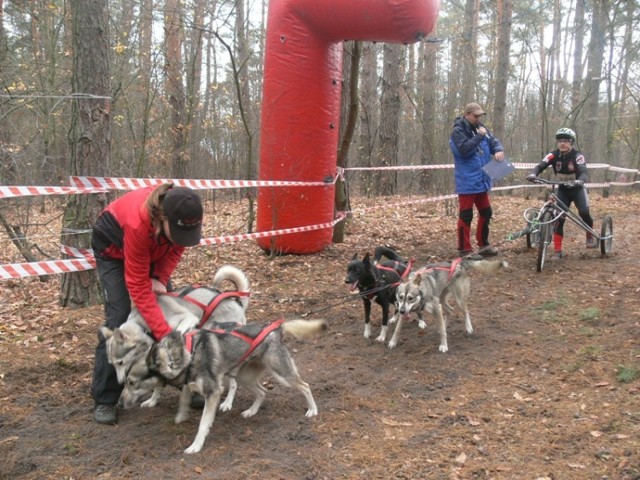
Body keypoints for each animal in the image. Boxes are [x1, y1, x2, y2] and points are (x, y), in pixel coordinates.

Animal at [104, 264, 249, 410]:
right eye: (112, 364)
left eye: (120, 362)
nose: (120, 381)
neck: (143, 326)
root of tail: (238, 304)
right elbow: (158, 384)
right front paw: (153, 400)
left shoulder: (188, 318)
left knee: (233, 383)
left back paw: (227, 403)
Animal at [112, 318, 328, 454]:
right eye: (126, 382)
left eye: (132, 382)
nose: (119, 405)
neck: (185, 355)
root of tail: (275, 330)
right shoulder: (190, 383)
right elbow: (184, 398)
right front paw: (181, 416)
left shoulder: (213, 393)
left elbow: (202, 424)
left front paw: (196, 445)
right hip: (243, 377)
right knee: (262, 392)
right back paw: (251, 411)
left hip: (281, 375)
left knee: (305, 386)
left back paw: (312, 409)